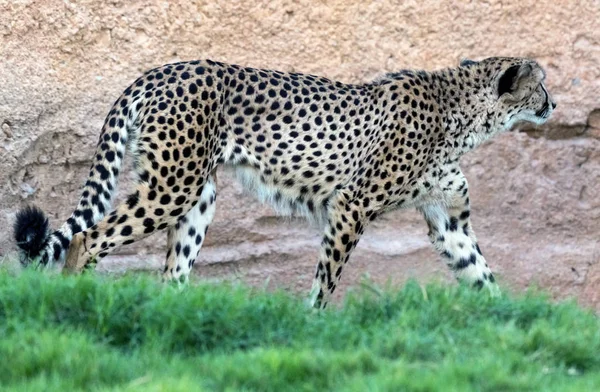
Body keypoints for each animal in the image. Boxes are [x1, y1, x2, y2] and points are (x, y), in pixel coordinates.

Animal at [14, 56, 556, 306]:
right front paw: (310, 324)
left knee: (172, 271)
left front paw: (509, 331)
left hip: (198, 196)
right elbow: (325, 281)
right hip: (173, 185)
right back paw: (79, 302)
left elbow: (482, 275)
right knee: (87, 238)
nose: (553, 104)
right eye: (541, 84)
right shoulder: (351, 205)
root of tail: (161, 70)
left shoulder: (450, 221)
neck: (461, 114)